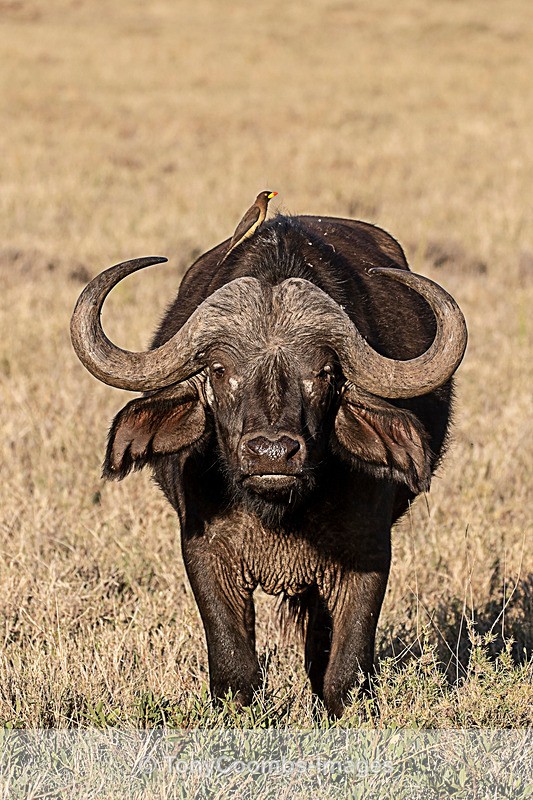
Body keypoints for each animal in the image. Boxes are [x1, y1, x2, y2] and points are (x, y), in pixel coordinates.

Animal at [71, 213, 467, 717]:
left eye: (324, 373)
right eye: (219, 369)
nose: (272, 454)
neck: (281, 515)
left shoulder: (369, 554)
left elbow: (344, 673)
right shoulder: (205, 554)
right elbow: (235, 669)